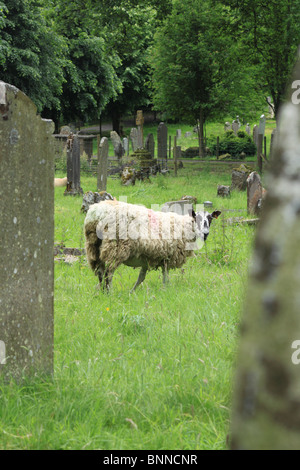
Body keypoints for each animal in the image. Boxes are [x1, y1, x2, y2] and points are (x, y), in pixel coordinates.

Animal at [84, 200, 220, 292]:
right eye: (197, 218)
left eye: (210, 219)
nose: (205, 233)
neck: (185, 227)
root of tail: (97, 213)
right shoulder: (168, 257)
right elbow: (165, 277)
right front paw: (165, 290)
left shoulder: (148, 258)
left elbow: (141, 277)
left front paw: (132, 292)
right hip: (115, 247)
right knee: (108, 273)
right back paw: (110, 292)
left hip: (93, 246)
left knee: (100, 272)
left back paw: (103, 291)